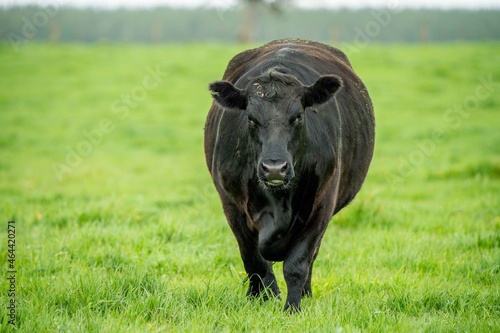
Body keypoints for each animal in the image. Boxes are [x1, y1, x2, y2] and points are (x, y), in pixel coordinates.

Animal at [204, 39, 376, 312]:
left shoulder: (321, 206)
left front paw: (292, 308)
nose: (274, 168)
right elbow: (254, 261)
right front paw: (264, 299)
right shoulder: (232, 206)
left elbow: (297, 264)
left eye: (297, 116)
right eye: (250, 118)